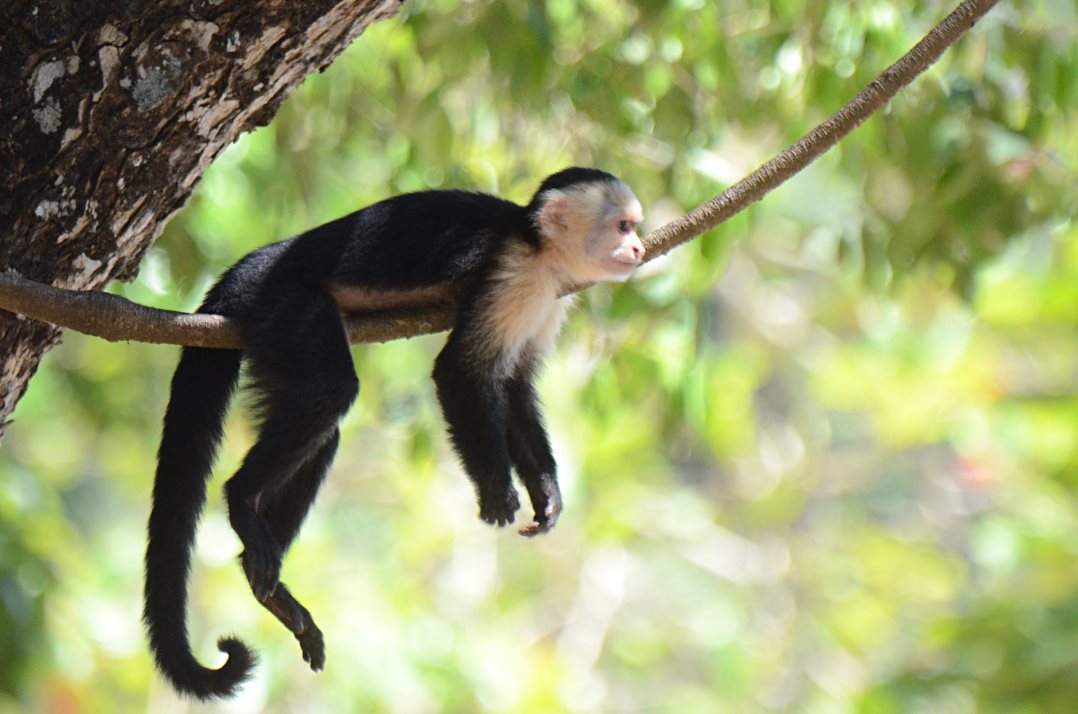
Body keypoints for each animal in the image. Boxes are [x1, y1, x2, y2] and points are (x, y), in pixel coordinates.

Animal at [146, 166, 642, 698]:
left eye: (635, 227)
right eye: (621, 227)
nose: (637, 249)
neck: (539, 247)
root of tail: (255, 264)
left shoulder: (551, 296)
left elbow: (514, 385)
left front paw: (546, 492)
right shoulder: (515, 274)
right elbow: (461, 371)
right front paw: (496, 490)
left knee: (323, 428)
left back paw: (272, 590)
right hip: (282, 300)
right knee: (331, 390)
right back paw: (240, 500)